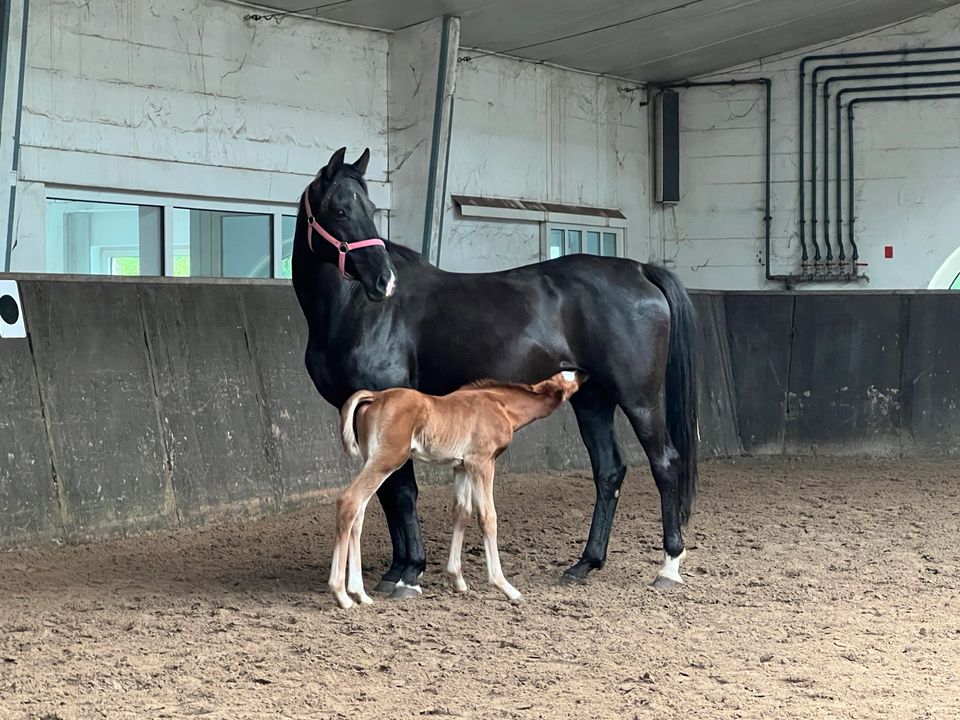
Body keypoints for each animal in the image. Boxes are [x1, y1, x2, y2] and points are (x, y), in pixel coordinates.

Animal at [330, 368, 584, 612]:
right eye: (564, 377)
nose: (583, 373)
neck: (500, 406)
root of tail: (376, 396)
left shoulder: (461, 466)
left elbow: (462, 512)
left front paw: (457, 580)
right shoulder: (481, 462)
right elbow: (487, 517)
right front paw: (507, 588)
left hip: (370, 458)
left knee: (359, 514)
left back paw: (360, 594)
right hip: (389, 457)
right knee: (349, 501)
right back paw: (342, 596)